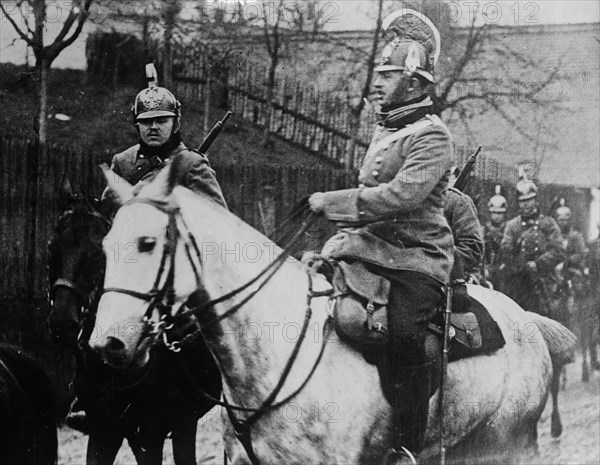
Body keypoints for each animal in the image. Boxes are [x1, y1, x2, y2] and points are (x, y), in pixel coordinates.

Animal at [92, 158, 576, 462]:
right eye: (105, 244)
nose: (107, 344)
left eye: (148, 242)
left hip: (506, 444)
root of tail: (526, 320)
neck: (275, 350)